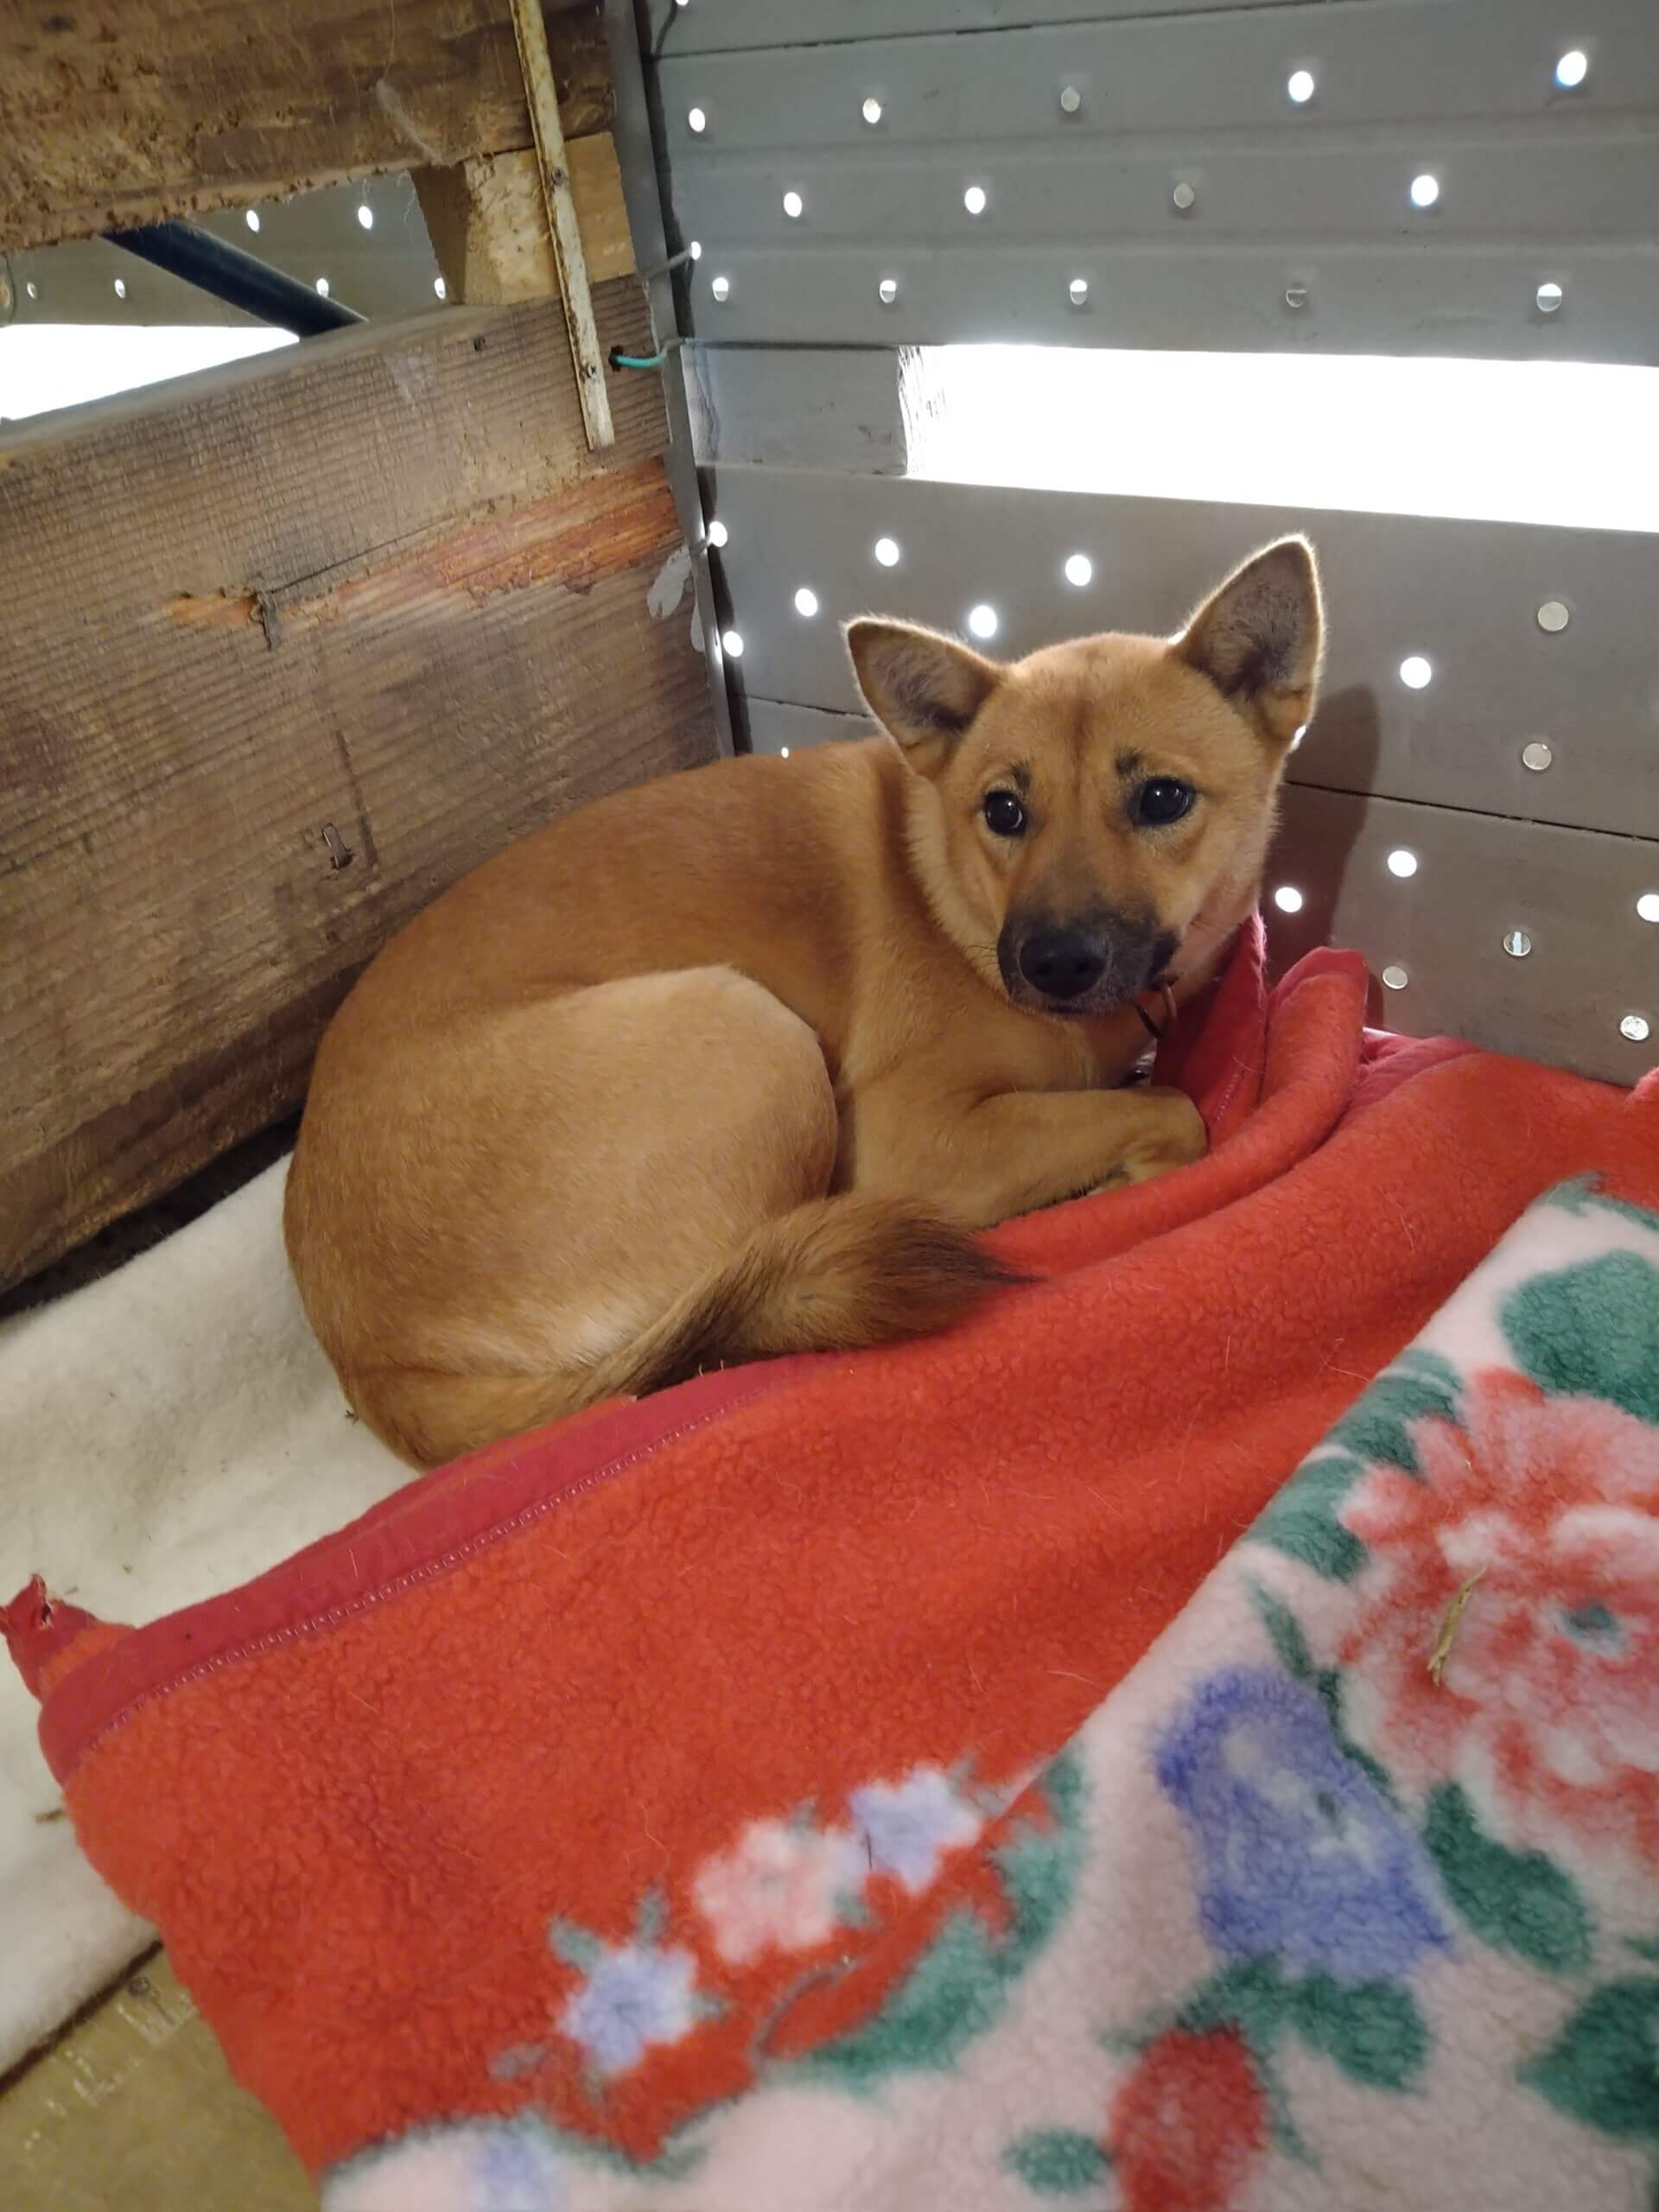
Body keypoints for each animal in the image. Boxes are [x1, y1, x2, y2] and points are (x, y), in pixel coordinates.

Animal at [284, 535, 1323, 1467]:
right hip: (753, 1036)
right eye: (1004, 810)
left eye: (1163, 799)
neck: (945, 889)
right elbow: (1176, 1109)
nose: (1052, 963)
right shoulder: (909, 1133)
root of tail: (370, 1363)